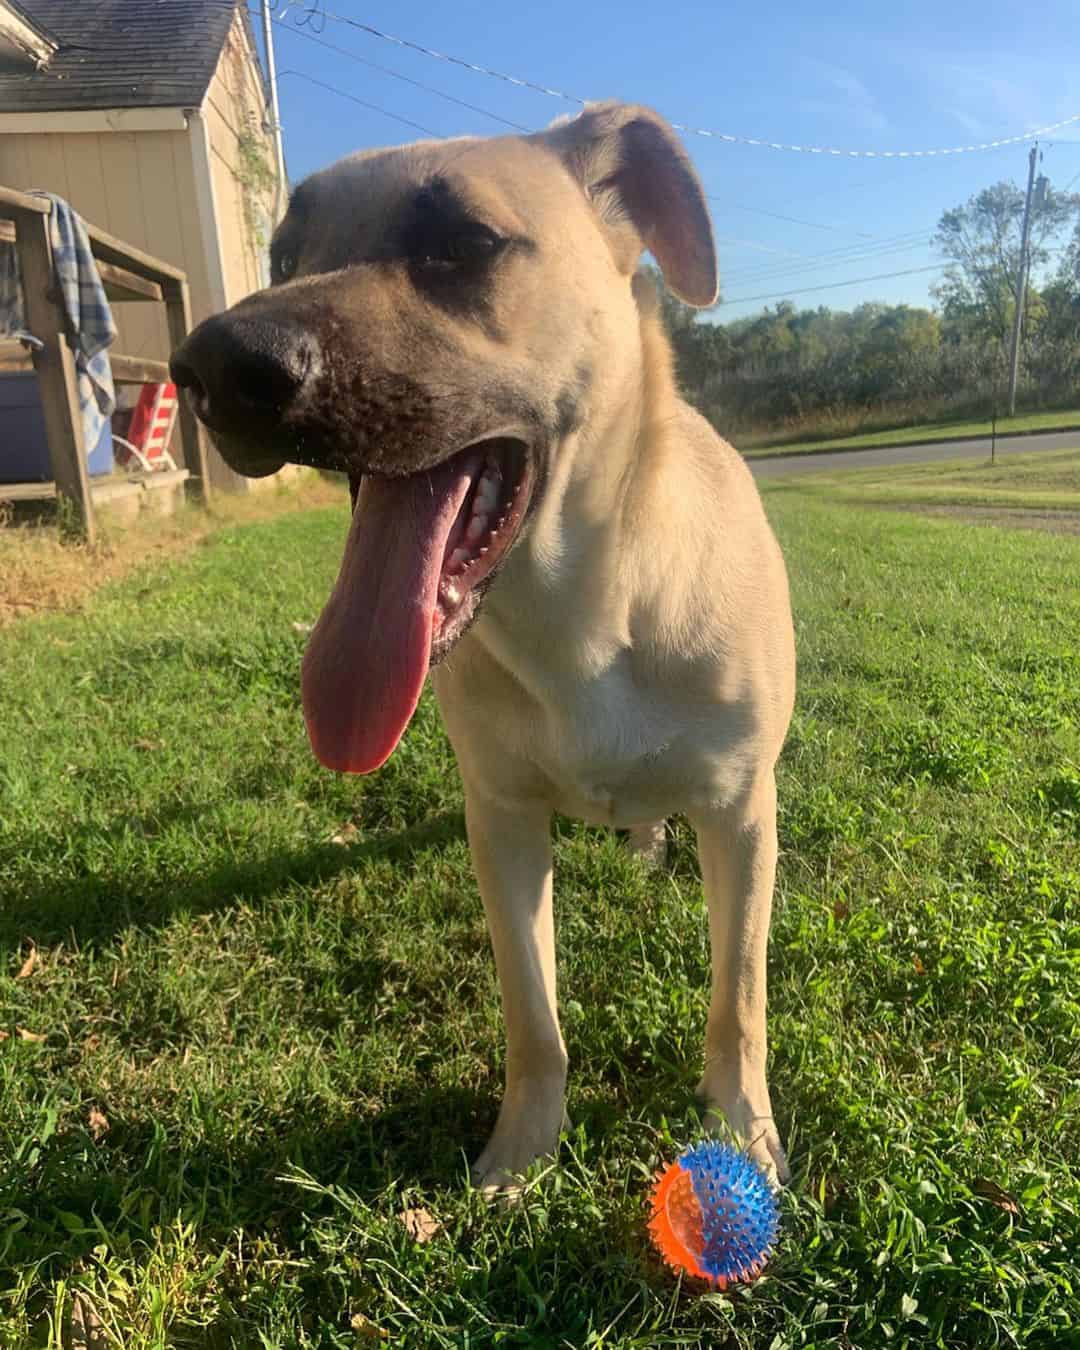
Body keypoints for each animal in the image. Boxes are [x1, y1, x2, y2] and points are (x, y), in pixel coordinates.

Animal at [168, 102, 793, 1193]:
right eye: (284, 256)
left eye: (462, 243)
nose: (213, 369)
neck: (587, 613)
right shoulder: (500, 823)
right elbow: (531, 1012)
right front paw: (523, 1149)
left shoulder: (743, 816)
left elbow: (738, 999)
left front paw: (741, 1126)